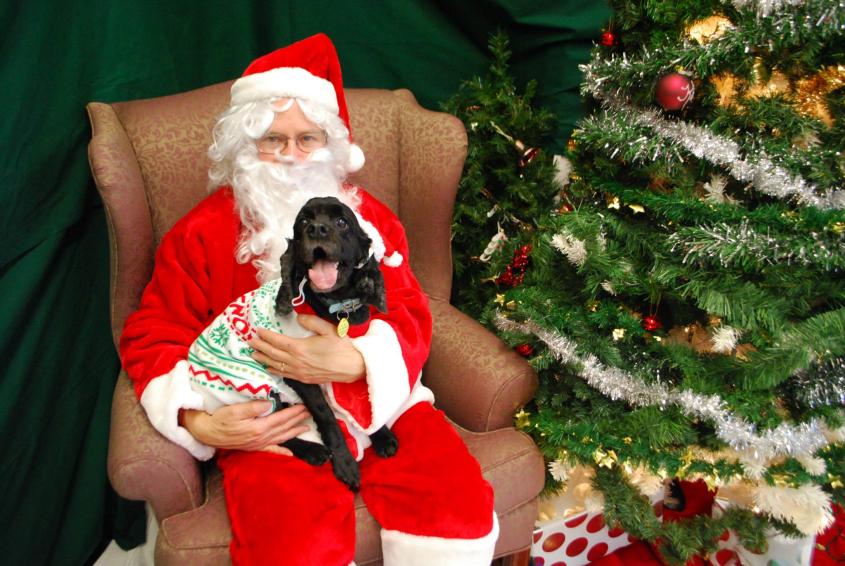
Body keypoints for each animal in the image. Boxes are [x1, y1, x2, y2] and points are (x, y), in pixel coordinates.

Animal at [272, 196, 400, 492]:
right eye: (303, 221)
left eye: (342, 222)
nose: (317, 229)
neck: (337, 308)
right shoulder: (300, 373)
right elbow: (327, 416)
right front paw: (345, 464)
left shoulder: (354, 359)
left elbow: (366, 404)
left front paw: (382, 436)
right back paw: (313, 451)